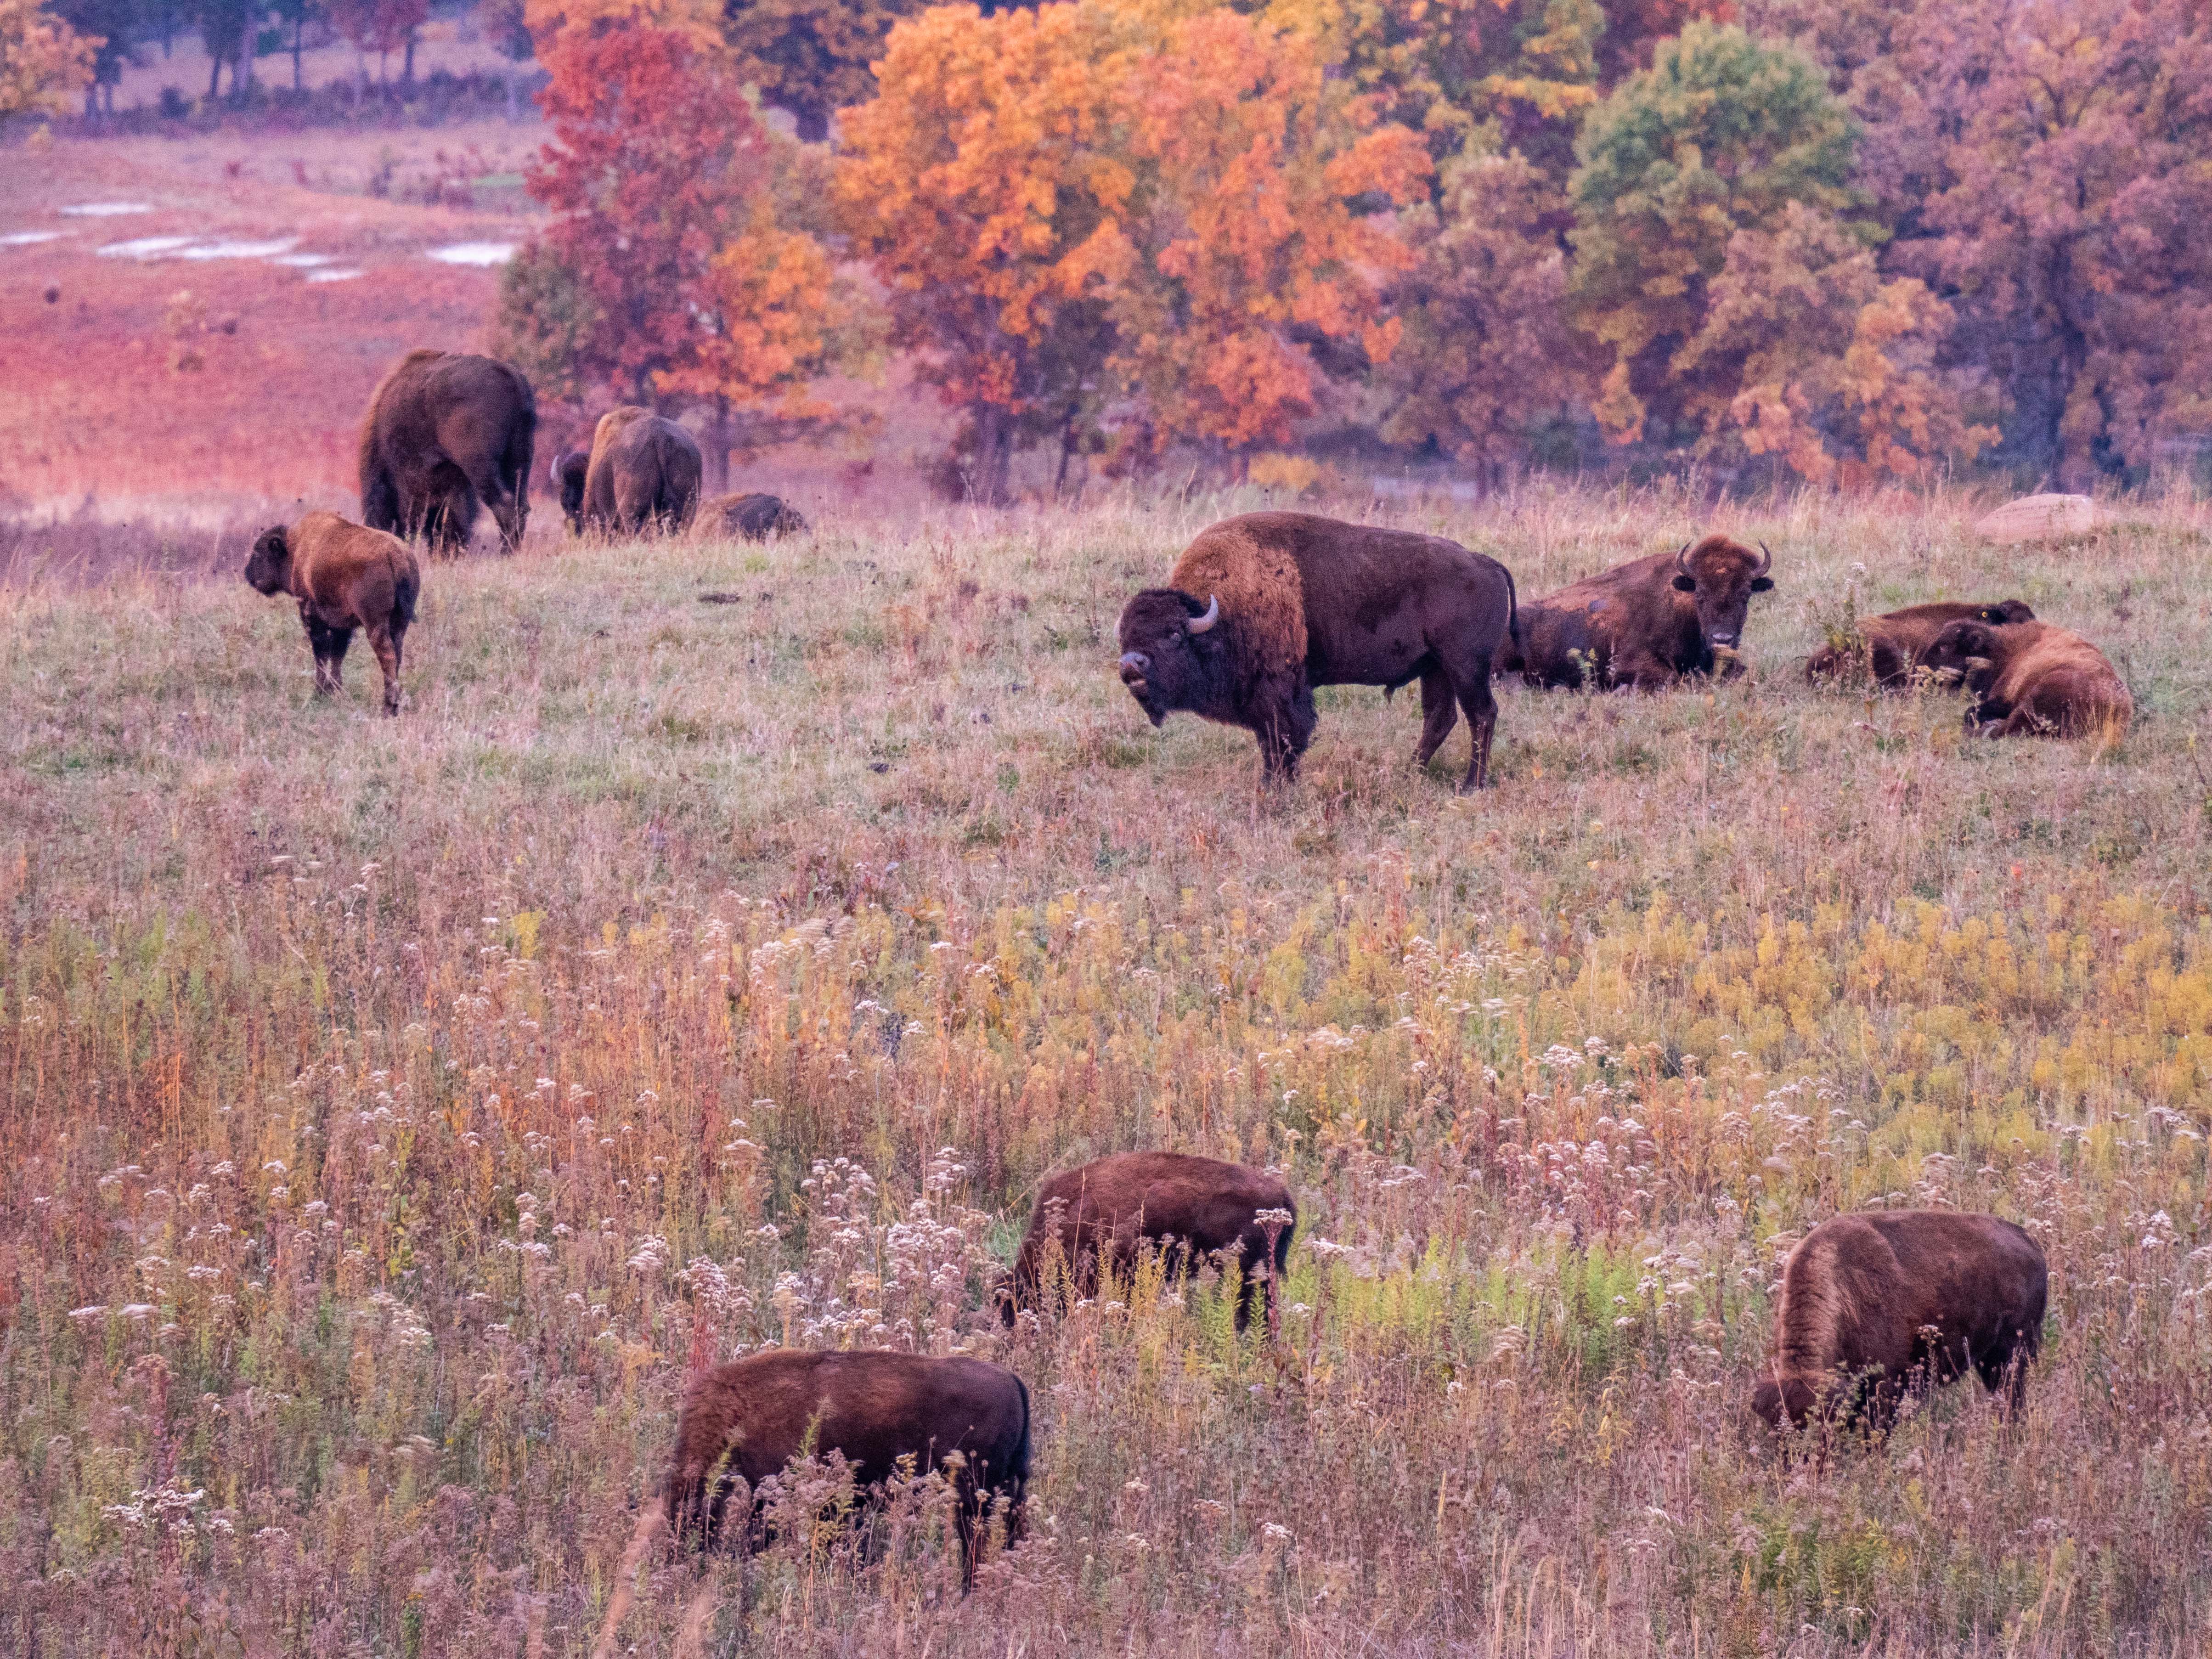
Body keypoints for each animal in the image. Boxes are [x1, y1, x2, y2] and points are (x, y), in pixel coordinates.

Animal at [244, 511, 419, 716]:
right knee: (397, 654)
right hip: (399, 624)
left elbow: (321, 654)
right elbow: (337, 655)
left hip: (375, 623)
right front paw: (335, 690)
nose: (248, 574)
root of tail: (396, 555)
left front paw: (319, 692)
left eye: (258, 552)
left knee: (388, 655)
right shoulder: (343, 625)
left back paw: (387, 708)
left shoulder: (311, 617)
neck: (295, 548)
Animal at [359, 349, 535, 555]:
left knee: (504, 504)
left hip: (480, 466)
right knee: (520, 505)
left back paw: (505, 554)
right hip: (519, 461)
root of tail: (508, 374)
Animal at [1116, 512, 1517, 789]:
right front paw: (1271, 783)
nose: (1131, 665)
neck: (1221, 613)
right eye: (1125, 637)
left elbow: (1284, 740)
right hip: (1436, 668)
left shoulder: (1281, 694)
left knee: (1481, 715)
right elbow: (1269, 742)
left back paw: (1470, 785)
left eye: (1174, 634)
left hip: (1465, 667)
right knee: (1440, 718)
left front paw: (1278, 786)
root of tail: (1486, 562)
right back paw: (1410, 773)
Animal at [1753, 1210, 2046, 1433]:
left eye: (1826, 1427)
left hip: (2011, 1355)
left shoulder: (1886, 1388)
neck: (1841, 1288)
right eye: (1777, 1432)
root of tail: (2030, 1242)